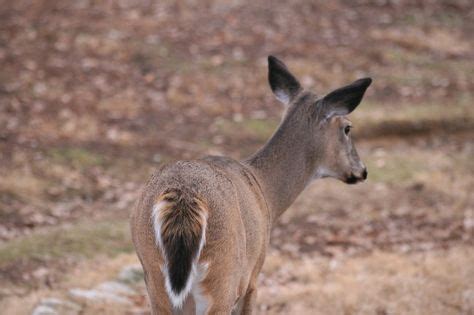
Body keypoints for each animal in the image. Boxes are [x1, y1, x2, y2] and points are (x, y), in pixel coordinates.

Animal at [131, 55, 372, 314]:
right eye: (347, 128)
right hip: (223, 277)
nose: (362, 170)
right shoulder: (253, 277)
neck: (265, 192)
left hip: (154, 278)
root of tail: (183, 197)